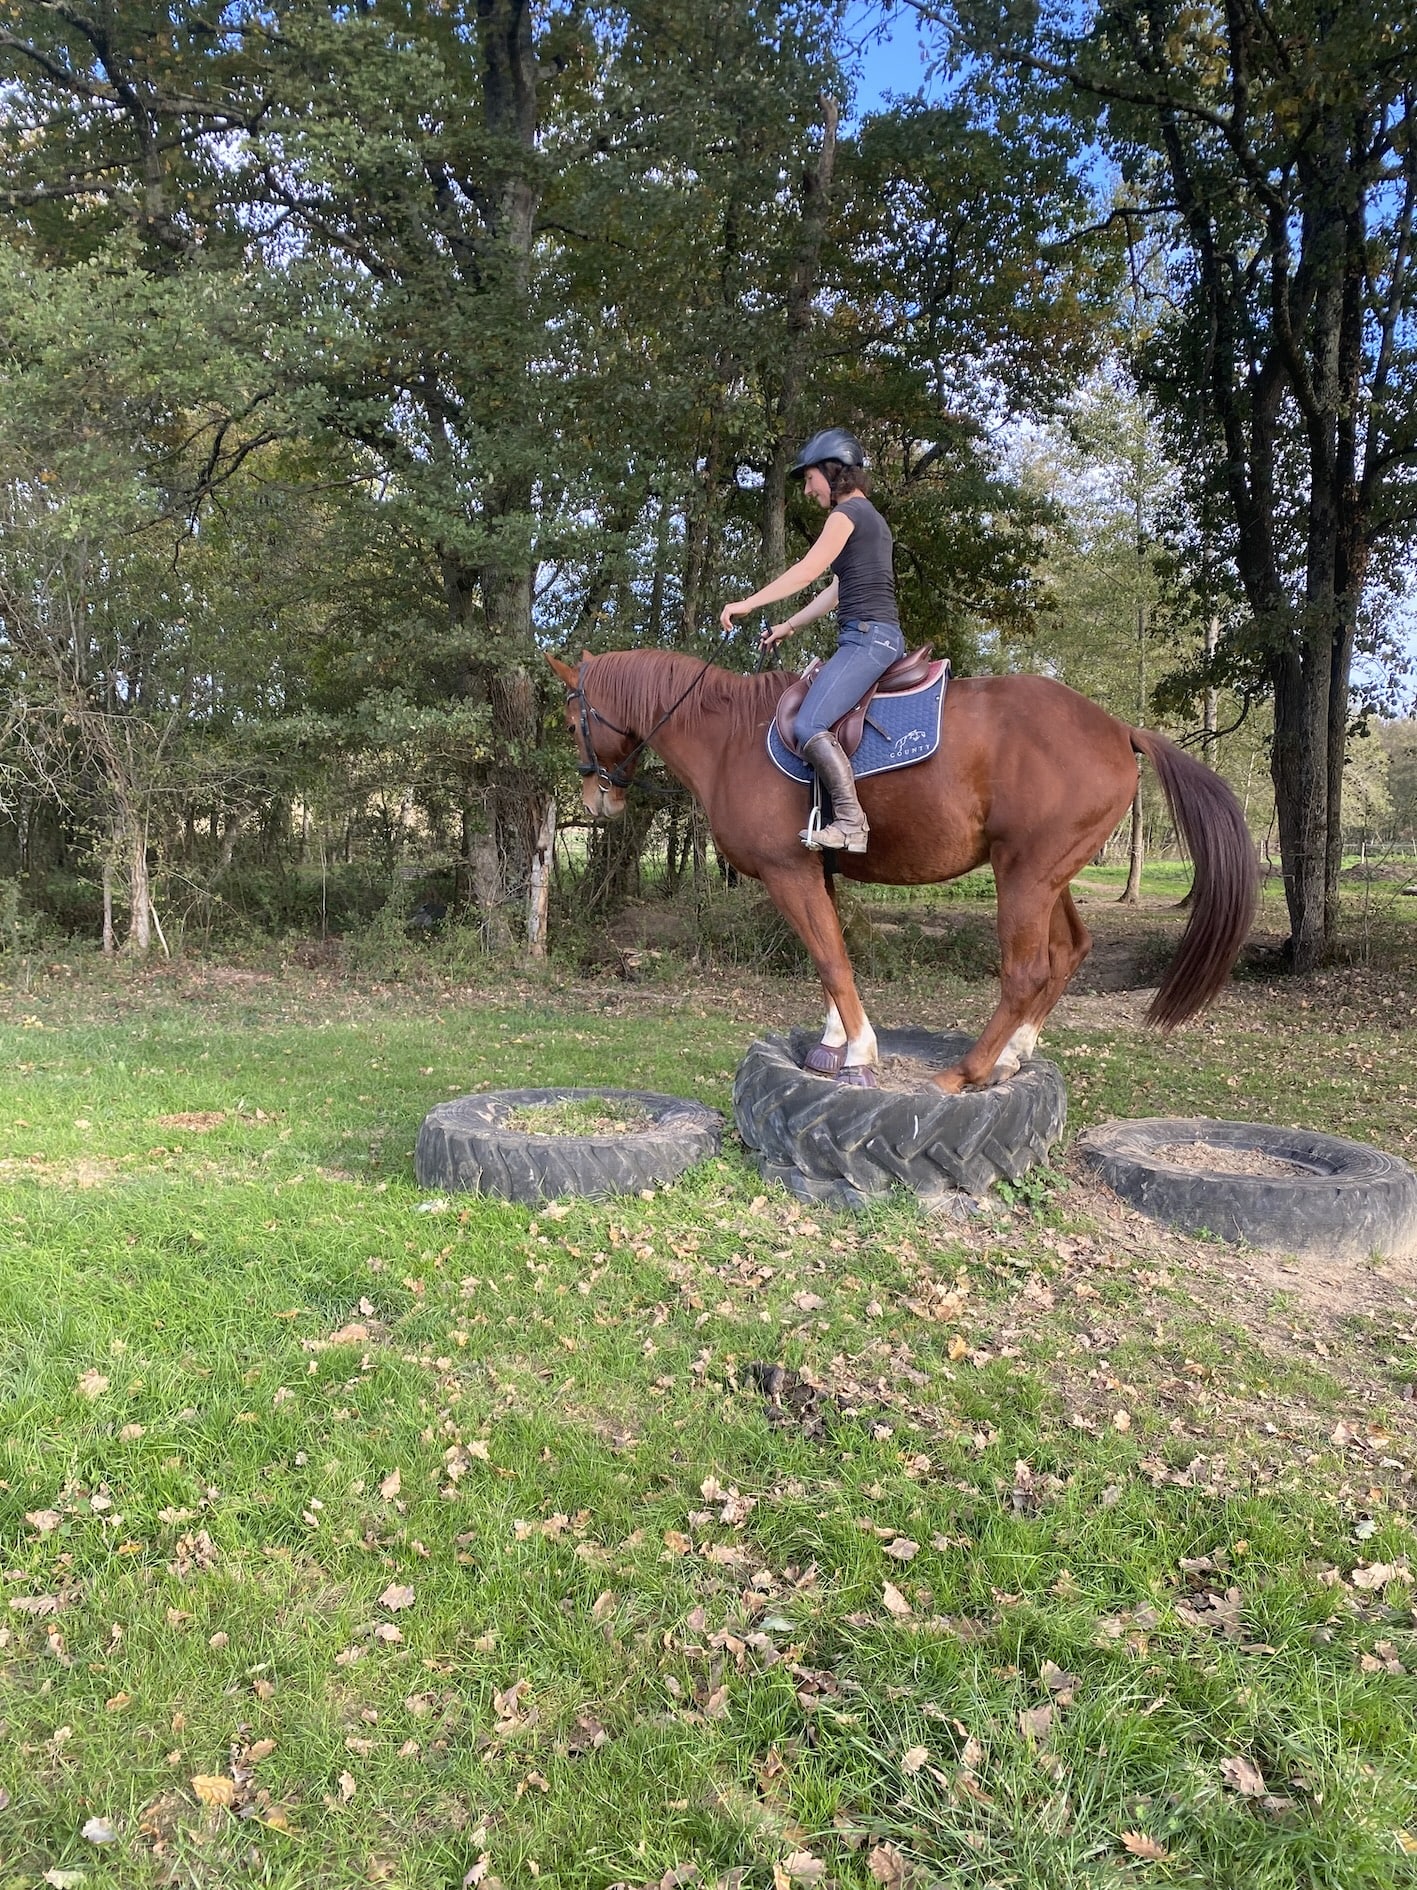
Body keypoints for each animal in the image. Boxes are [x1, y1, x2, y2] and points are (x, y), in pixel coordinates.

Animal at [548, 649, 1258, 1092]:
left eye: (572, 718)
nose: (595, 800)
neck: (730, 737)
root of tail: (1118, 729)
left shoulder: (789, 873)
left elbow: (831, 958)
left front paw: (860, 1053)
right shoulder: (816, 872)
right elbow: (830, 958)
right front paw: (833, 1045)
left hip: (1024, 877)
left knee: (1026, 970)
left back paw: (967, 1071)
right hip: (1045, 876)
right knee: (1069, 952)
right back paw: (1014, 1054)